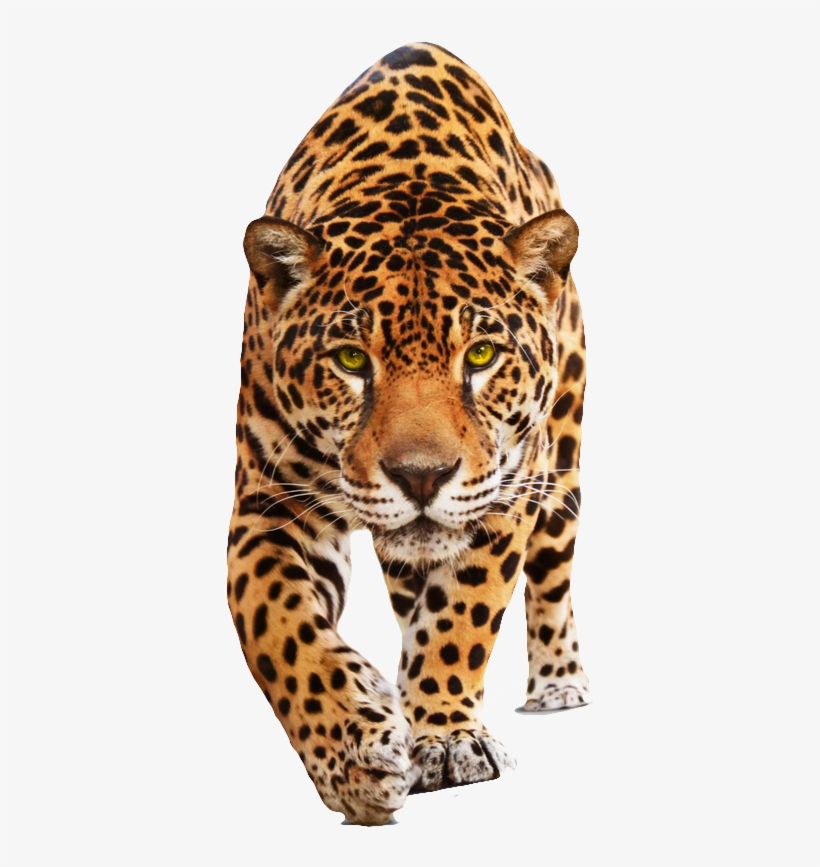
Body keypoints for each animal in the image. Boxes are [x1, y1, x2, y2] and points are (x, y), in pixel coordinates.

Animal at [227, 42, 590, 825]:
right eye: (350, 360)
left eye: (480, 356)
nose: (421, 476)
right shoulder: (268, 506)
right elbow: (278, 628)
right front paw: (353, 755)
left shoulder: (506, 489)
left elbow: (463, 614)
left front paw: (447, 737)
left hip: (564, 464)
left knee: (551, 577)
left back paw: (557, 681)